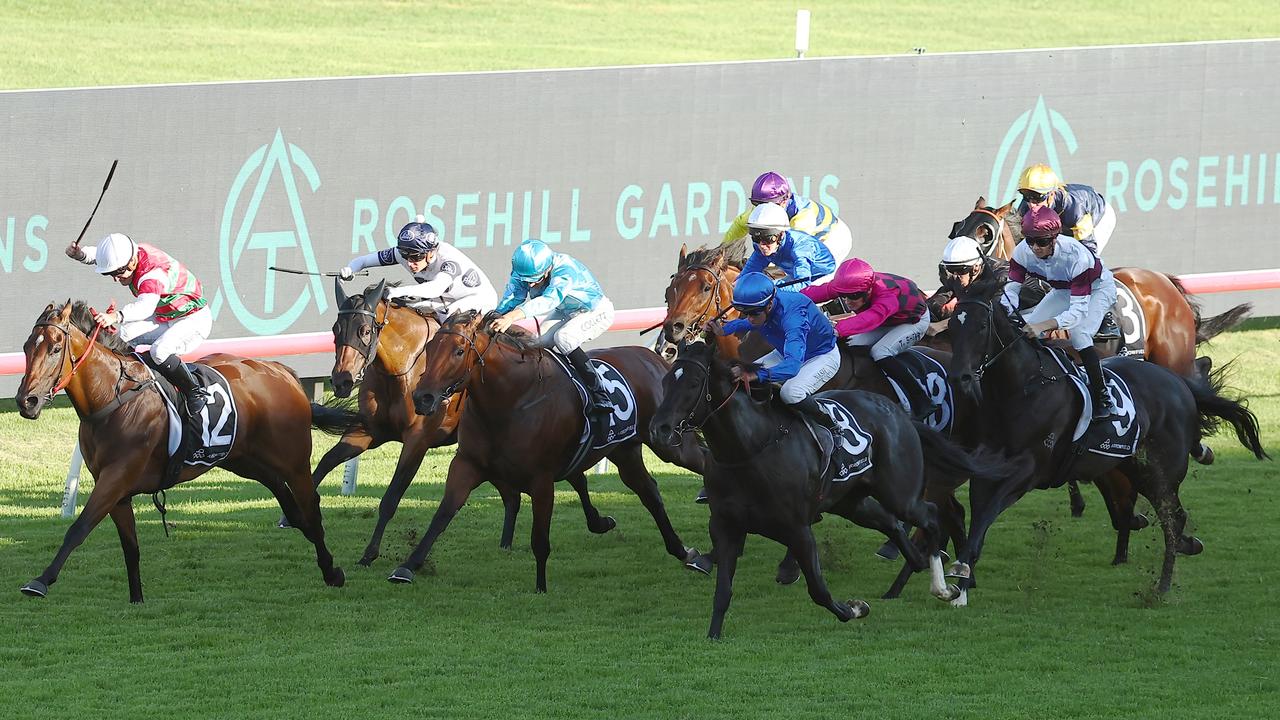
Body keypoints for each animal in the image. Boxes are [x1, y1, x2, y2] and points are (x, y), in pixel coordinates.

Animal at [13, 298, 360, 599]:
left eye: (55, 348)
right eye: (27, 347)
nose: (26, 401)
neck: (113, 397)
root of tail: (282, 372)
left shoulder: (116, 478)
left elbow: (79, 527)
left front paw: (40, 581)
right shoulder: (116, 489)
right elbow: (130, 548)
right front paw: (137, 600)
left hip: (294, 461)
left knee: (311, 507)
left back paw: (332, 571)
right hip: (246, 460)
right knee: (293, 507)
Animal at [309, 278, 614, 563]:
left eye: (364, 330)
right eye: (335, 330)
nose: (341, 380)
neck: (403, 368)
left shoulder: (417, 440)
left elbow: (391, 497)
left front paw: (370, 553)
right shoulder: (367, 431)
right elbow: (324, 463)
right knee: (514, 494)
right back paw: (506, 543)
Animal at [389, 311, 711, 591]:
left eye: (458, 351)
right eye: (429, 348)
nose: (423, 397)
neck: (511, 398)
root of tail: (654, 358)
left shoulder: (541, 478)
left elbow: (540, 537)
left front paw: (541, 586)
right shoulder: (468, 463)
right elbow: (443, 513)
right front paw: (407, 566)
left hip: (668, 441)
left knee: (702, 463)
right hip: (624, 450)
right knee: (649, 492)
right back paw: (683, 551)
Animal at [650, 333, 1018, 635]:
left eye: (694, 382)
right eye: (667, 379)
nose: (659, 429)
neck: (750, 448)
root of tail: (900, 413)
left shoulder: (797, 528)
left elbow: (818, 590)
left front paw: (854, 609)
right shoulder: (726, 526)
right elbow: (723, 591)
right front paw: (713, 636)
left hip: (899, 493)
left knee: (929, 515)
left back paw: (945, 585)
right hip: (851, 502)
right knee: (892, 523)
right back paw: (918, 566)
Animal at [947, 278, 1264, 597]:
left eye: (981, 327)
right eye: (951, 325)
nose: (960, 378)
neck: (1022, 388)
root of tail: (1179, 383)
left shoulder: (1028, 471)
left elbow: (986, 515)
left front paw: (960, 575)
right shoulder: (986, 466)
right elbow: (978, 518)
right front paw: (964, 577)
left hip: (1162, 470)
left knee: (1172, 518)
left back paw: (1161, 587)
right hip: (1133, 466)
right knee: (1173, 516)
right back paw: (1186, 547)